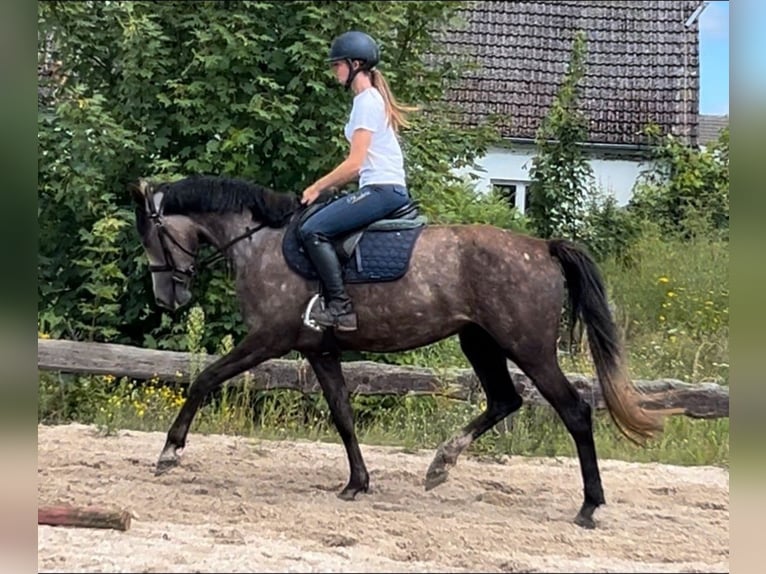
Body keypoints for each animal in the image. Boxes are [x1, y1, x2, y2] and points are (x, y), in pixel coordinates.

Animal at [132, 174, 680, 532]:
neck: (261, 243)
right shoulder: (319, 351)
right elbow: (343, 413)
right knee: (504, 400)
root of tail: (542, 247)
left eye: (153, 236)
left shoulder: (269, 339)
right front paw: (357, 482)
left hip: (528, 348)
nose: (168, 298)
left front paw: (169, 452)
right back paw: (440, 465)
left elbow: (205, 379)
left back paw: (589, 507)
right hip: (478, 340)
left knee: (574, 410)